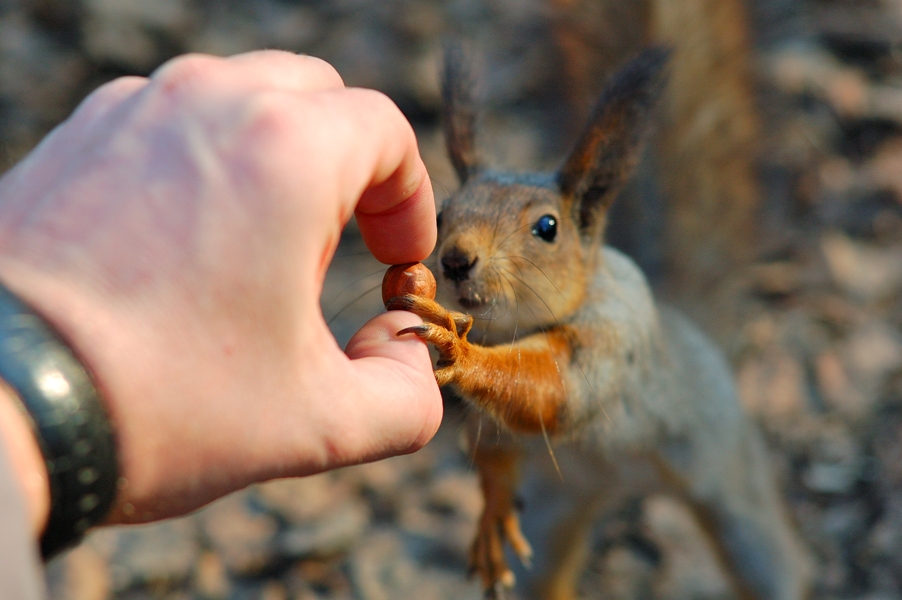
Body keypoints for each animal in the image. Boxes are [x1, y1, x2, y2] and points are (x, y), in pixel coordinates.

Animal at [384, 45, 816, 600]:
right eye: (441, 215)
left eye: (548, 227)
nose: (457, 260)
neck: (511, 329)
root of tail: (620, 483)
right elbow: (497, 445)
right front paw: (494, 510)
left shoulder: (617, 325)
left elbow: (557, 385)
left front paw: (458, 350)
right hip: (558, 505)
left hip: (735, 487)